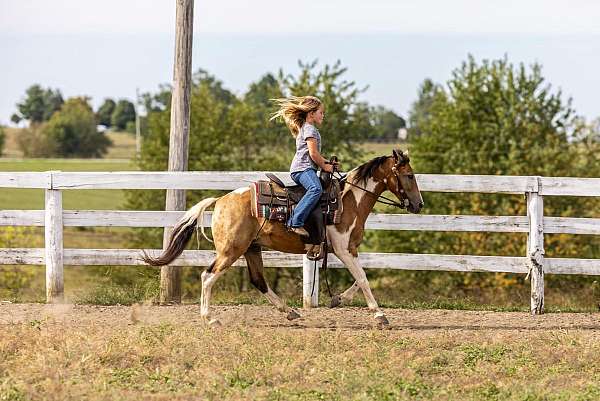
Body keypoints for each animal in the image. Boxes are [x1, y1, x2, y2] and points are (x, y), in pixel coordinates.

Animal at [141, 148, 424, 326]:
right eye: (409, 175)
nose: (419, 204)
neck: (348, 201)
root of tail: (220, 200)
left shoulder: (349, 249)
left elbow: (359, 279)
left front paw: (338, 299)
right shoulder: (345, 250)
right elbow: (363, 279)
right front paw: (380, 316)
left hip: (252, 249)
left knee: (258, 280)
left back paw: (290, 312)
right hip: (231, 250)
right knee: (208, 276)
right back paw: (210, 319)